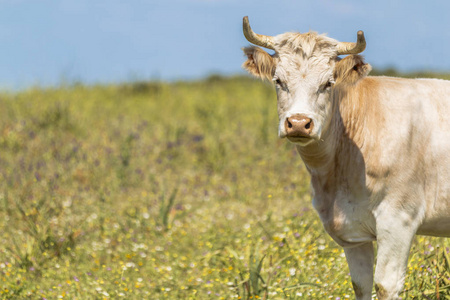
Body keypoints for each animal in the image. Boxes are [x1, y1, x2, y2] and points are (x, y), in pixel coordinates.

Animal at [241, 17, 450, 300]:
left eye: (328, 83)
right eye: (278, 80)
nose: (299, 123)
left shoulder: (399, 219)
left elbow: (385, 285)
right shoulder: (352, 232)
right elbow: (361, 284)